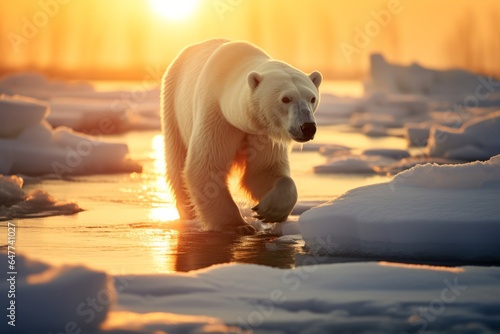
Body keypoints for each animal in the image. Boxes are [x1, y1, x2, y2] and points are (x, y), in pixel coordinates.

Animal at [162, 38, 322, 235]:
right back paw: (189, 213)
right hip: (172, 106)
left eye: (312, 98)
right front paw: (238, 225)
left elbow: (263, 171)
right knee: (176, 161)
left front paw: (267, 211)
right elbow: (207, 167)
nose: (308, 127)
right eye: (286, 99)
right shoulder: (217, 114)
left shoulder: (263, 133)